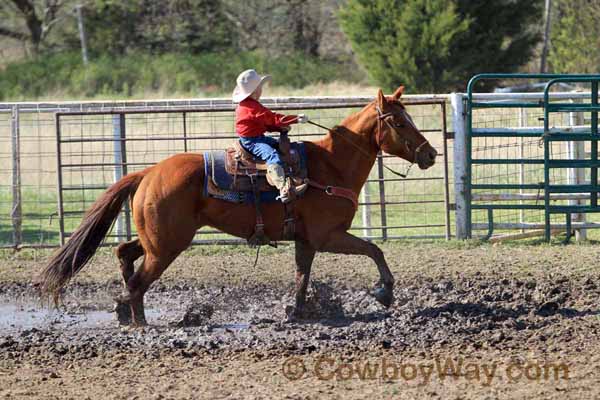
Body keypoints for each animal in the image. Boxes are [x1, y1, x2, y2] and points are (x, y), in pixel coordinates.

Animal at [39, 86, 438, 324]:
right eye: (399, 121)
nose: (431, 154)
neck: (331, 165)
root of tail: (149, 172)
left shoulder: (306, 240)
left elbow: (302, 276)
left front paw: (296, 312)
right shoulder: (328, 235)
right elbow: (374, 249)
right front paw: (384, 292)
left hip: (157, 238)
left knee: (124, 253)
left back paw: (125, 312)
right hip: (167, 245)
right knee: (139, 279)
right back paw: (140, 322)